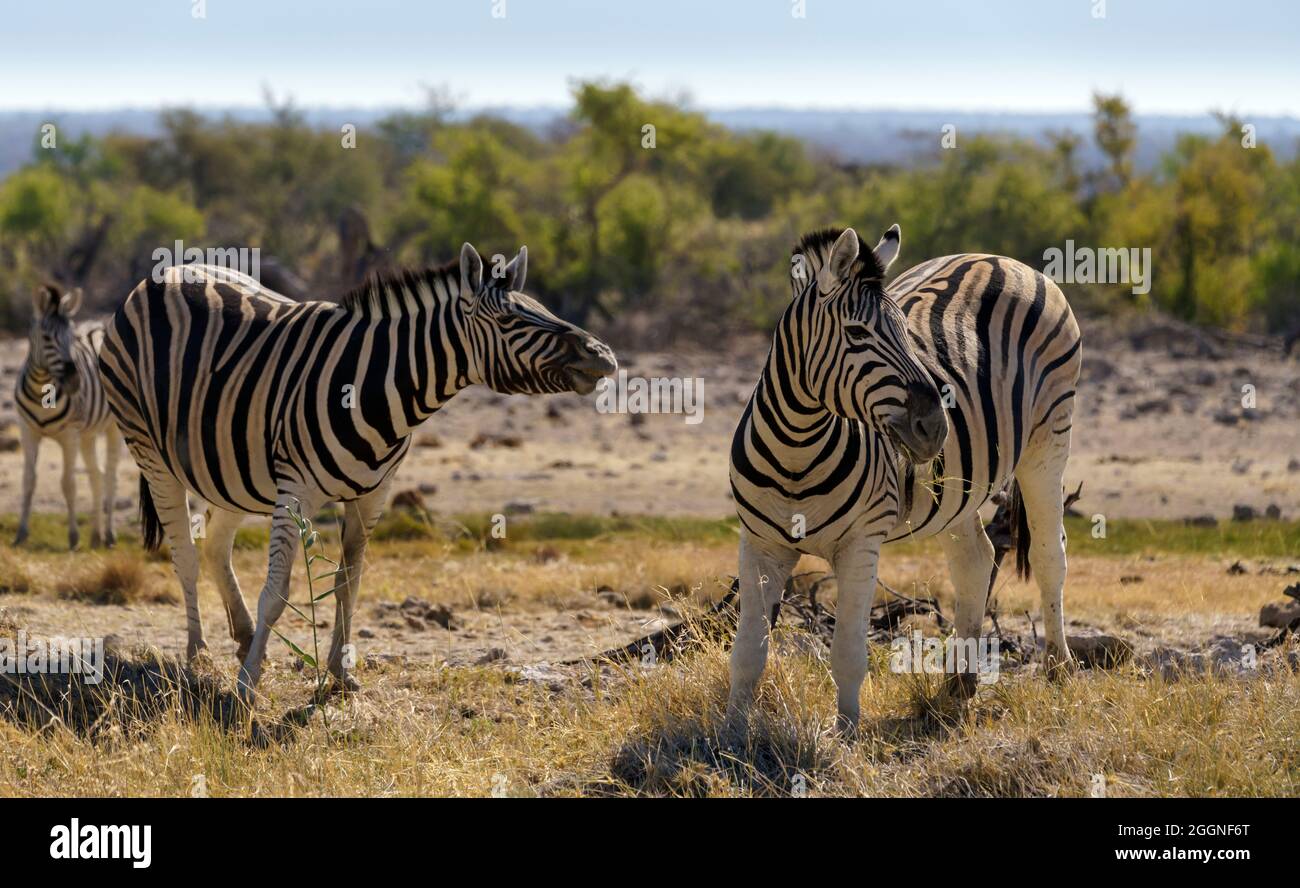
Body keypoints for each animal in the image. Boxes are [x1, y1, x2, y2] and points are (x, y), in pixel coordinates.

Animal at [14, 284, 124, 548]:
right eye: (46, 338)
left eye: (73, 337)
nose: (74, 381)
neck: (41, 390)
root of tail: (100, 324)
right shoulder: (27, 431)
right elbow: (28, 481)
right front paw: (21, 533)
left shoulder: (69, 436)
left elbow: (68, 484)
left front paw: (73, 537)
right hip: (88, 435)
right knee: (97, 475)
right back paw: (96, 536)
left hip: (113, 428)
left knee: (110, 476)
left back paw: (109, 534)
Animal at [98, 243, 616, 702]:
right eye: (511, 320)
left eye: (544, 309)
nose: (605, 356)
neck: (378, 389)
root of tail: (162, 274)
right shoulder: (295, 491)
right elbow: (278, 591)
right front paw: (248, 687)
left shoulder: (373, 495)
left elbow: (350, 583)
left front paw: (339, 675)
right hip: (150, 450)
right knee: (184, 555)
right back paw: (198, 656)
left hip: (232, 468)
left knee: (216, 545)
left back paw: (244, 640)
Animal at [728, 223, 1081, 738]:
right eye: (856, 333)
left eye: (905, 333)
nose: (935, 427)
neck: (798, 448)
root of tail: (998, 258)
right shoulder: (759, 543)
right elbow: (748, 651)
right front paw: (732, 731)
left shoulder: (860, 544)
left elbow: (848, 652)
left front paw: (846, 735)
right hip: (960, 487)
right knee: (976, 560)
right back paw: (959, 684)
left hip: (1049, 439)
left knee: (1048, 555)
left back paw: (1059, 669)